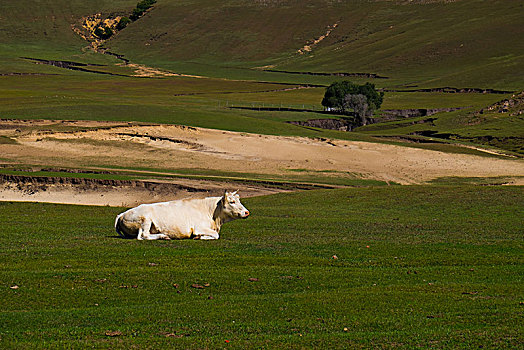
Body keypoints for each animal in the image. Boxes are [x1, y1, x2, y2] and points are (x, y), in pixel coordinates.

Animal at [114, 191, 250, 241]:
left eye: (238, 200)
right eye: (232, 202)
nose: (246, 212)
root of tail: (122, 214)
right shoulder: (199, 227)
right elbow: (216, 235)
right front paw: (199, 237)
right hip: (145, 220)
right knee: (144, 236)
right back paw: (163, 236)